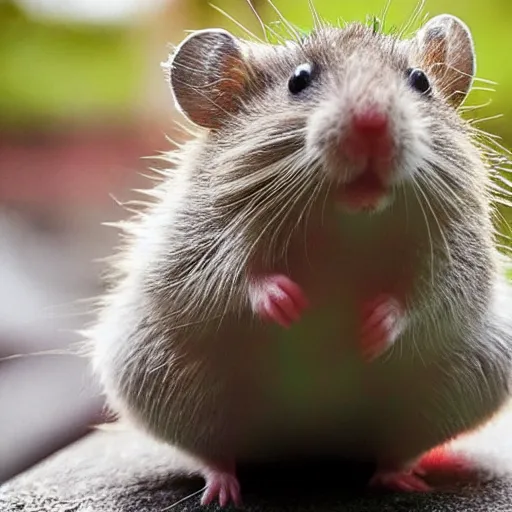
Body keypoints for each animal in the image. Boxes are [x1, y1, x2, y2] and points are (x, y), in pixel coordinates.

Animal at [90, 11, 512, 508]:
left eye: (420, 81)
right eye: (299, 81)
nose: (372, 123)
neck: (348, 219)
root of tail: (310, 447)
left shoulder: (458, 249)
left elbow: (434, 295)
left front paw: (370, 328)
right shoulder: (194, 245)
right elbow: (224, 281)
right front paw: (289, 305)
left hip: (472, 376)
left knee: (400, 446)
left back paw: (398, 476)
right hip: (154, 373)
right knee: (210, 450)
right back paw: (221, 488)